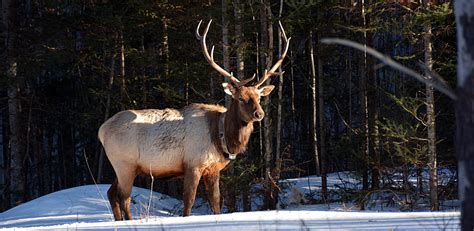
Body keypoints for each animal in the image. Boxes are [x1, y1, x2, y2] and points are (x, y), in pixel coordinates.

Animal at [98, 19, 290, 220]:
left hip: (122, 167)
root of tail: (102, 130)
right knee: (124, 197)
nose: (259, 114)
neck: (220, 136)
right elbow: (188, 202)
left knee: (111, 193)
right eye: (241, 98)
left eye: (258, 97)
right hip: (124, 163)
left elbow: (216, 202)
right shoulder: (193, 164)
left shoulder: (213, 169)